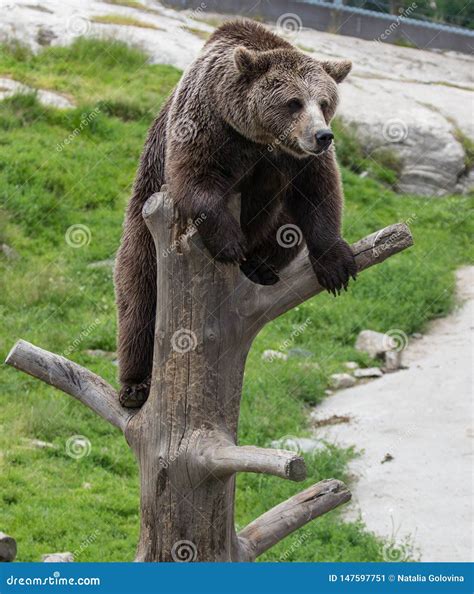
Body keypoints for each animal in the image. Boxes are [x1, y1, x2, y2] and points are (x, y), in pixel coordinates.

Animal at [114, 19, 356, 408]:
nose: (322, 135)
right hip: (142, 219)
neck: (257, 136)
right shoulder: (206, 125)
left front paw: (336, 265)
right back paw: (135, 387)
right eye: (293, 102)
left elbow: (319, 194)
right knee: (139, 298)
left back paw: (260, 266)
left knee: (288, 229)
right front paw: (229, 244)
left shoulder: (293, 160)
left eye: (324, 101)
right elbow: (195, 178)